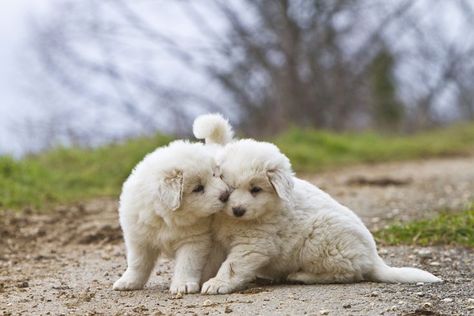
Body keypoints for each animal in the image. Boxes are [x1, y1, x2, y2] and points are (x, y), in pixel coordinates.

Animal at [115, 114, 233, 294]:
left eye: (216, 175)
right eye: (198, 188)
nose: (226, 195)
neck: (166, 217)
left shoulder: (194, 240)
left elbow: (187, 263)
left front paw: (183, 285)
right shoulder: (139, 239)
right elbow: (137, 263)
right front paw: (128, 282)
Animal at [202, 139, 442, 296]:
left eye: (255, 189)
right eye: (229, 188)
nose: (238, 210)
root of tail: (374, 259)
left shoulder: (253, 244)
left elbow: (232, 265)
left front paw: (217, 283)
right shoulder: (219, 240)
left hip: (321, 239)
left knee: (347, 274)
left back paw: (301, 276)